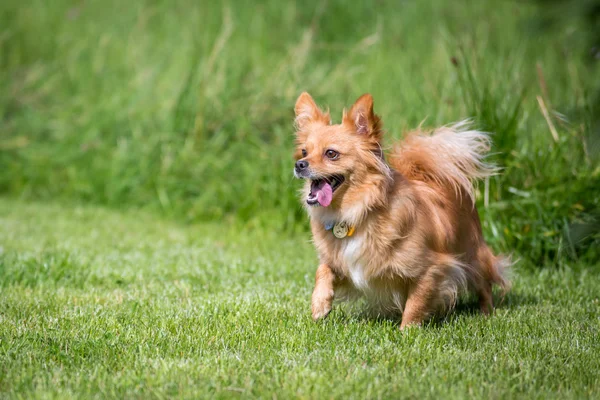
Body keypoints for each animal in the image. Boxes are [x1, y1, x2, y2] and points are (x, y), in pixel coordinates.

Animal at [292, 93, 508, 328]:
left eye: (331, 153)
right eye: (304, 152)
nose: (299, 164)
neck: (357, 210)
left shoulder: (431, 268)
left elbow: (416, 302)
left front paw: (407, 331)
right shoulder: (346, 265)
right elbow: (323, 270)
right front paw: (320, 304)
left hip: (473, 254)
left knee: (484, 283)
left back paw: (487, 313)